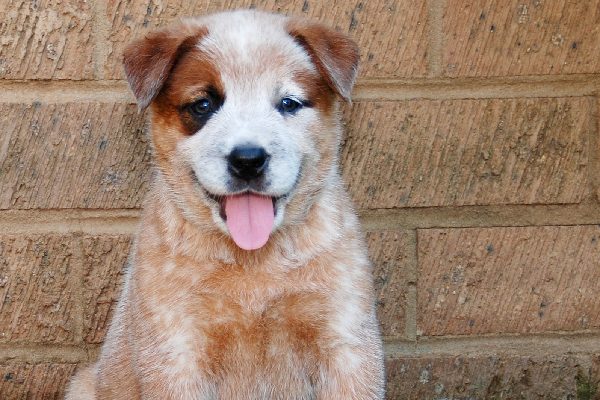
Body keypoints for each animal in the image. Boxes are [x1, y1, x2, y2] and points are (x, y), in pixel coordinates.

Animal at [65, 9, 384, 400]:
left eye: (288, 104)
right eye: (203, 105)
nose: (248, 160)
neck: (254, 265)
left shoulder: (346, 345)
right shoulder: (176, 352)